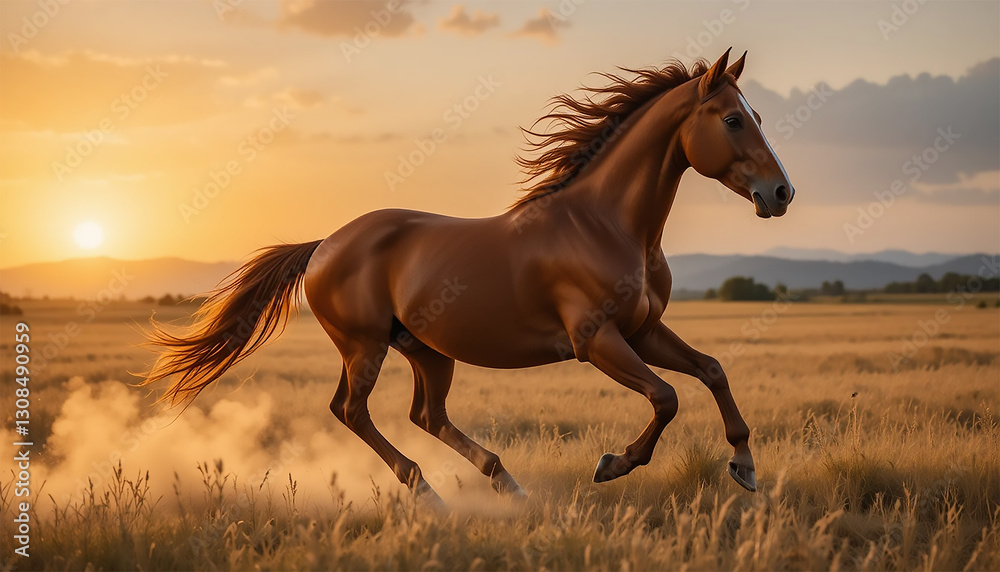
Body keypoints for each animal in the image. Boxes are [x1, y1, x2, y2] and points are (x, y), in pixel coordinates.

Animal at [141, 48, 795, 506]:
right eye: (733, 120)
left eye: (758, 115)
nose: (781, 193)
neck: (604, 224)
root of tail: (324, 245)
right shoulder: (597, 341)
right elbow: (665, 397)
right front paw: (612, 465)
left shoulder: (643, 331)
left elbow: (711, 370)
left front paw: (744, 466)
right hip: (364, 346)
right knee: (352, 411)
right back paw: (426, 490)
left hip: (427, 350)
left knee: (425, 416)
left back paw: (505, 482)